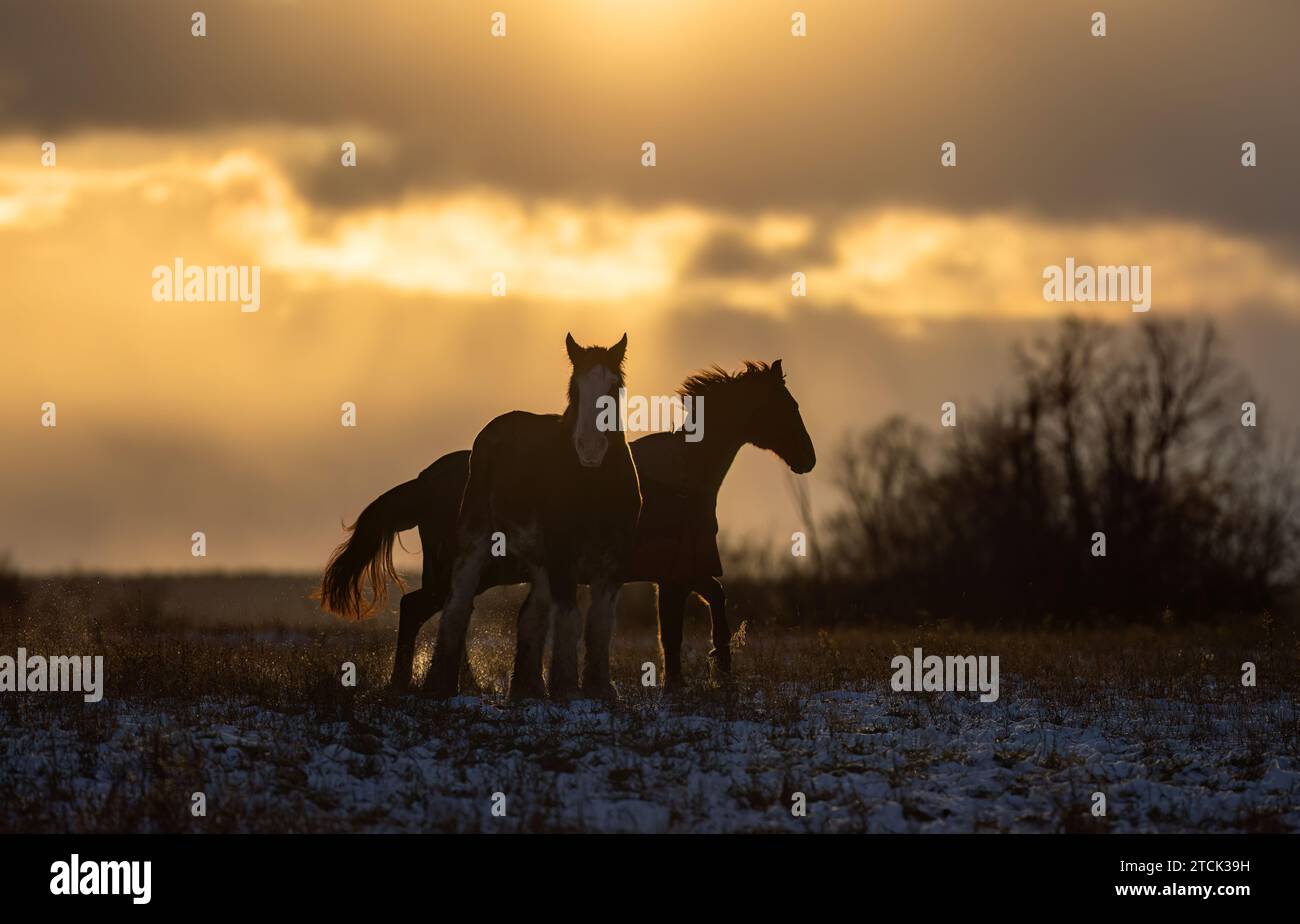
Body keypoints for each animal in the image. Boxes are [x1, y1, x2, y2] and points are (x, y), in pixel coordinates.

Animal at [319, 358, 811, 696]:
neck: (684, 478)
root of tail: (424, 480)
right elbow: (676, 631)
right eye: (787, 406)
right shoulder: (674, 577)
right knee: (418, 608)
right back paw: (420, 683)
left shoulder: (678, 574)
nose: (808, 459)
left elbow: (712, 605)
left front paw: (718, 669)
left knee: (432, 610)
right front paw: (691, 681)